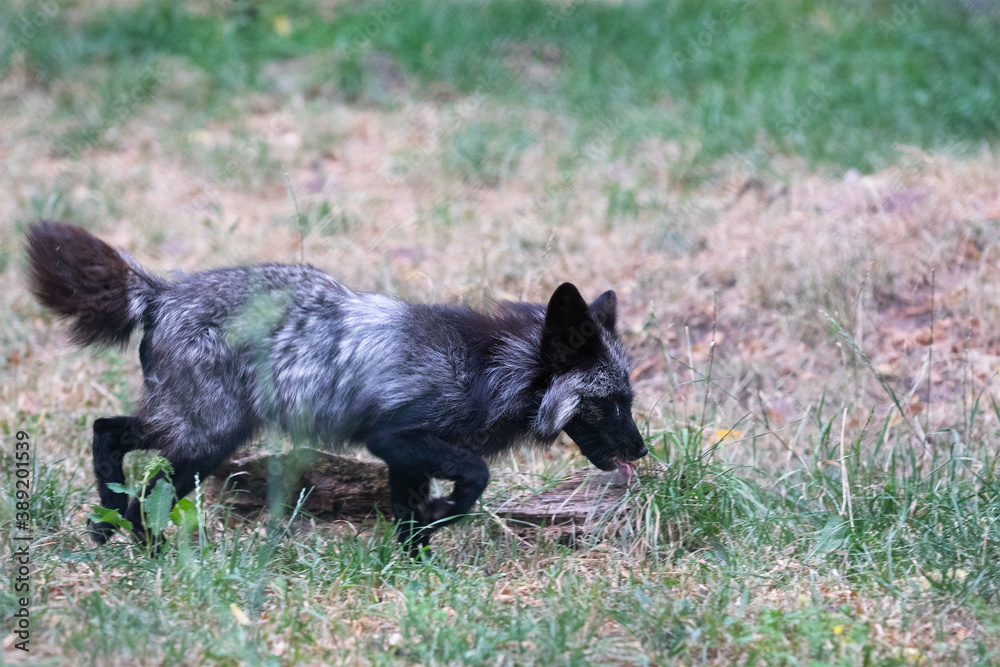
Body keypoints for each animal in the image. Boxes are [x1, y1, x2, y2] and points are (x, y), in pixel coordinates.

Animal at [25, 221, 648, 553]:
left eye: (628, 400)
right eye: (608, 403)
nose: (643, 452)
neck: (487, 368)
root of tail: (161, 293)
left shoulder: (403, 457)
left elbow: (410, 519)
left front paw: (414, 569)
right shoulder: (395, 437)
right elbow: (474, 478)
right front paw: (442, 515)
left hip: (199, 443)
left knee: (130, 461)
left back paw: (115, 526)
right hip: (206, 437)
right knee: (111, 438)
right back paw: (132, 534)